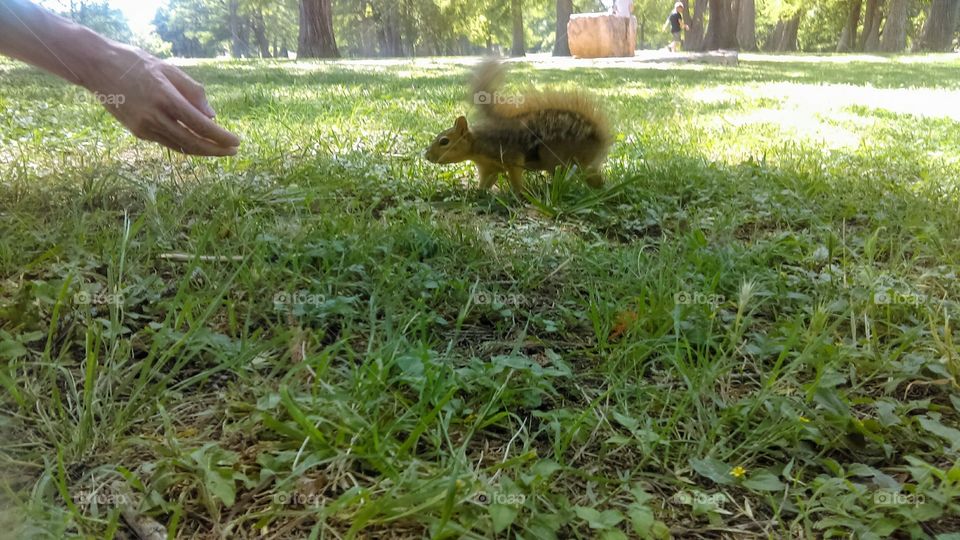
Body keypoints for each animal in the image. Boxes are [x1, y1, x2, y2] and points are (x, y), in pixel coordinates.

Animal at [424, 59, 612, 193]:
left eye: (444, 141)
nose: (427, 155)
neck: (477, 145)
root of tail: (598, 140)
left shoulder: (510, 157)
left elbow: (515, 176)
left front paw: (519, 193)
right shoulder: (487, 168)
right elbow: (486, 182)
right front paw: (476, 193)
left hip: (557, 160)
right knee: (593, 176)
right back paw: (601, 189)